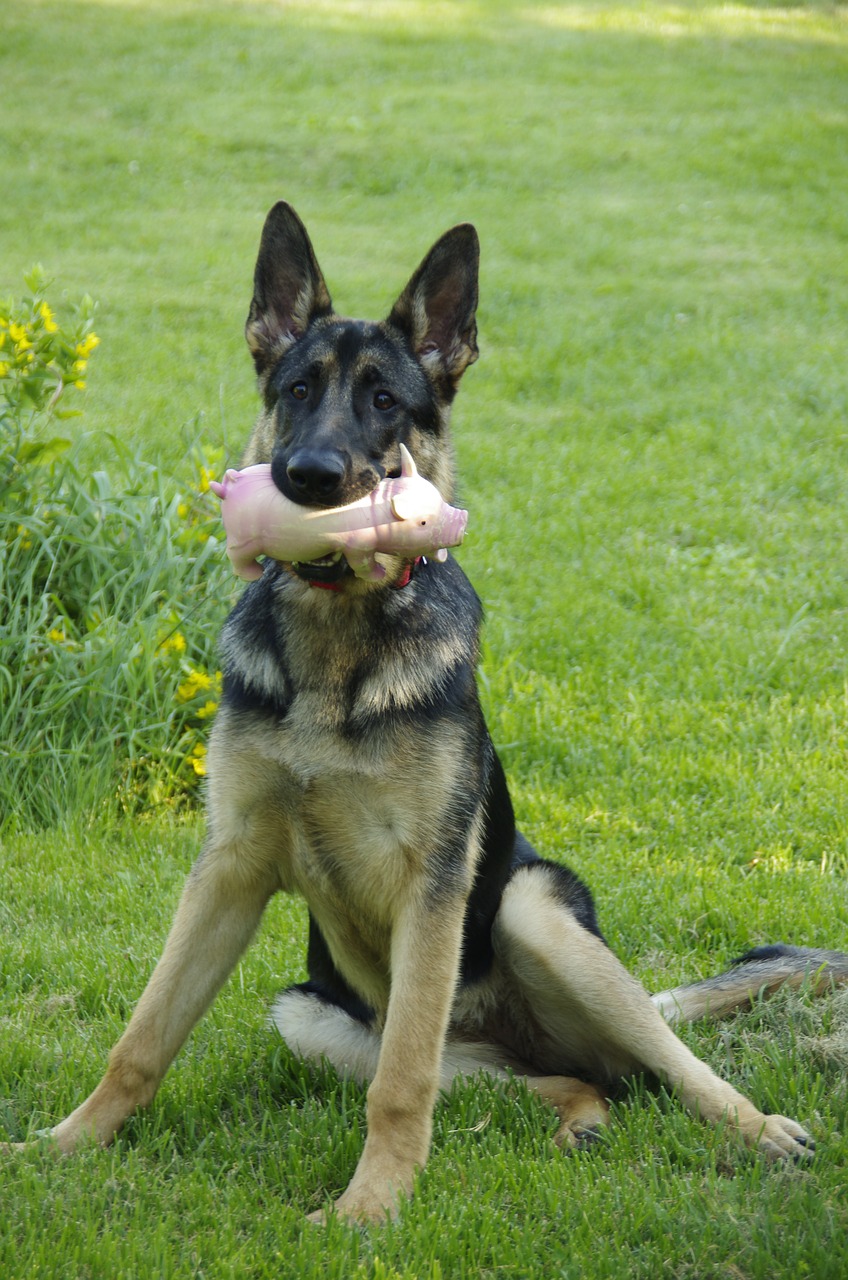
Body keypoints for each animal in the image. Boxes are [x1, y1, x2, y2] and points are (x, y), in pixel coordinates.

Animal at [13, 204, 848, 1223]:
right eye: (296, 389)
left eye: (385, 401)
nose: (307, 476)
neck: (338, 644)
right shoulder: (229, 868)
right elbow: (142, 1038)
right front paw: (63, 1147)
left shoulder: (433, 885)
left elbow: (401, 1086)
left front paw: (370, 1211)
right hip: (315, 1015)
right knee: (576, 1080)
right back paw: (581, 1122)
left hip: (533, 913)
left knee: (666, 1065)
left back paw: (758, 1129)